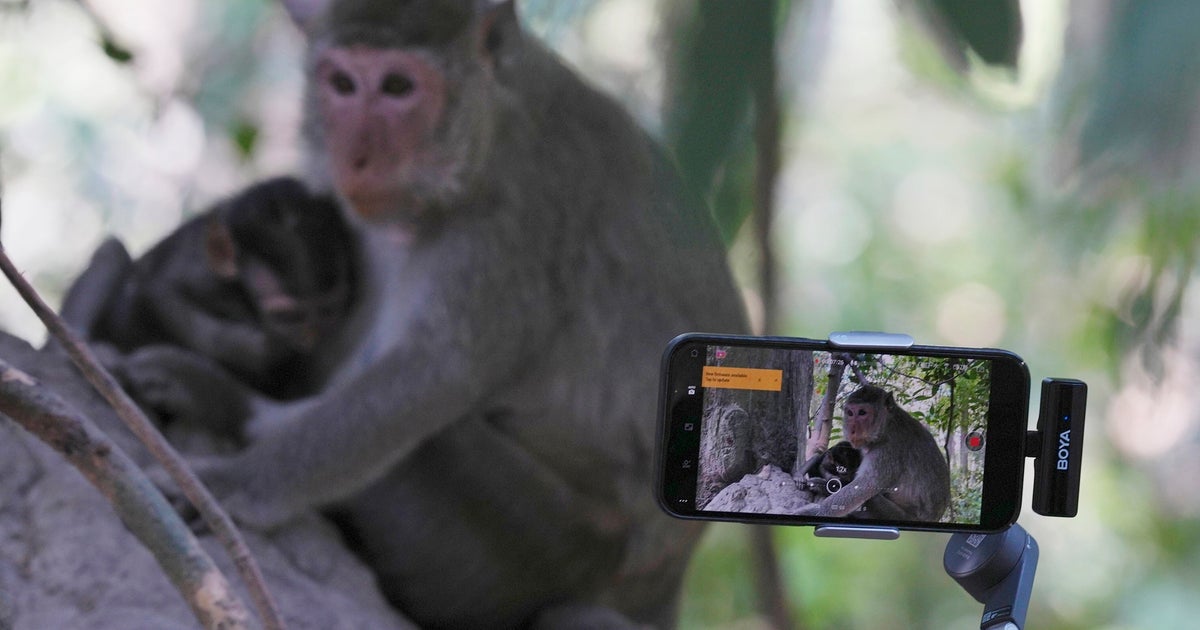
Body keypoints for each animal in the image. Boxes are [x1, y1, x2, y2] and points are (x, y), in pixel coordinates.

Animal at [60, 176, 358, 401]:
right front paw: (259, 350)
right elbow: (160, 292)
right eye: (289, 317)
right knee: (113, 253)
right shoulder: (202, 275)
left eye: (327, 313)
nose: (311, 336)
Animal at [115, 1, 748, 628]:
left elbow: (437, 373)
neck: (489, 127)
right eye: (342, 84)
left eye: (398, 87)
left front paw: (231, 485)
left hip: (547, 545)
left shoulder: (517, 212)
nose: (356, 159)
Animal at [795, 385, 950, 522]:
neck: (887, 426)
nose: (852, 430)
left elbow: (862, 488)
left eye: (862, 412)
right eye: (850, 413)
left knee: (871, 498)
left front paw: (811, 511)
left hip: (895, 515)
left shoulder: (888, 451)